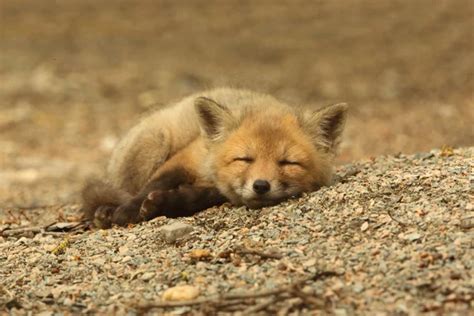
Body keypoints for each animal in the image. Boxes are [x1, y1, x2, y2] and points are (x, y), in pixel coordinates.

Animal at [82, 88, 348, 227]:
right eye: (245, 159)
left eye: (288, 163)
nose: (261, 186)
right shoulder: (188, 156)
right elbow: (153, 185)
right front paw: (129, 210)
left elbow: (198, 196)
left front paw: (167, 202)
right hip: (154, 142)